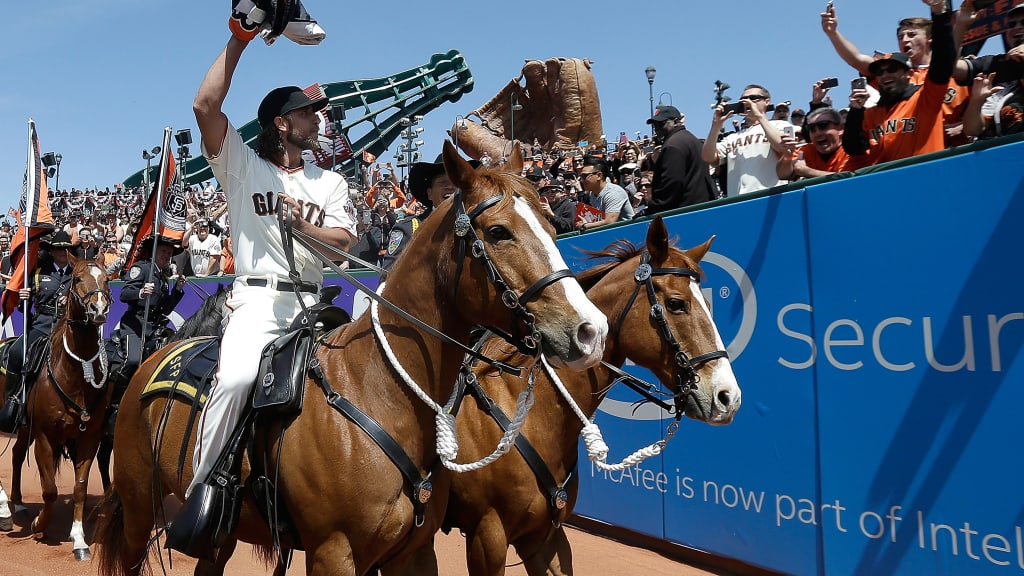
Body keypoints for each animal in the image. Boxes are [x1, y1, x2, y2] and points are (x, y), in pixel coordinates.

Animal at [0, 253, 112, 557]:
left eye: (107, 278)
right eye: (78, 278)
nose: (98, 308)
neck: (74, 374)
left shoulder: (89, 438)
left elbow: (80, 488)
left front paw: (79, 539)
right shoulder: (44, 437)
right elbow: (49, 490)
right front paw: (40, 526)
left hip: (23, 430)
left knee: (16, 455)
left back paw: (18, 504)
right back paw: (5, 511)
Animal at [436, 216, 741, 573]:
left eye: (708, 303)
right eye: (676, 304)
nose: (727, 396)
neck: (525, 410)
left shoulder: (544, 537)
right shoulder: (487, 536)